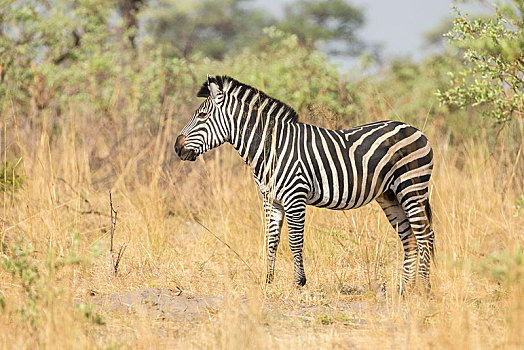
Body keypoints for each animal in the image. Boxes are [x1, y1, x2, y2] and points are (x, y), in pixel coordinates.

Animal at [176, 76, 434, 292]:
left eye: (202, 116)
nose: (177, 147)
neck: (272, 148)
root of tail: (416, 129)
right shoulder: (272, 200)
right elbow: (271, 239)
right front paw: (268, 280)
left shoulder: (295, 197)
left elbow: (294, 241)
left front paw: (298, 282)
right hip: (390, 195)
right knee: (409, 238)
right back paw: (405, 288)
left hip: (411, 187)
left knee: (425, 235)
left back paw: (423, 288)